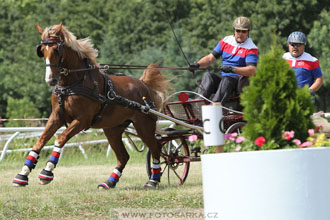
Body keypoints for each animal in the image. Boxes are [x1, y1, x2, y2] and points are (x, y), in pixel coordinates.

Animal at [12, 23, 170, 190]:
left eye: (56, 49)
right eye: (42, 50)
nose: (50, 79)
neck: (73, 83)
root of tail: (143, 84)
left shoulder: (82, 120)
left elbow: (60, 139)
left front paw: (47, 172)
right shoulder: (56, 116)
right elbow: (40, 141)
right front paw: (22, 174)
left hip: (143, 126)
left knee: (155, 148)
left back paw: (153, 180)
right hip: (112, 129)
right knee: (124, 156)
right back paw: (109, 182)